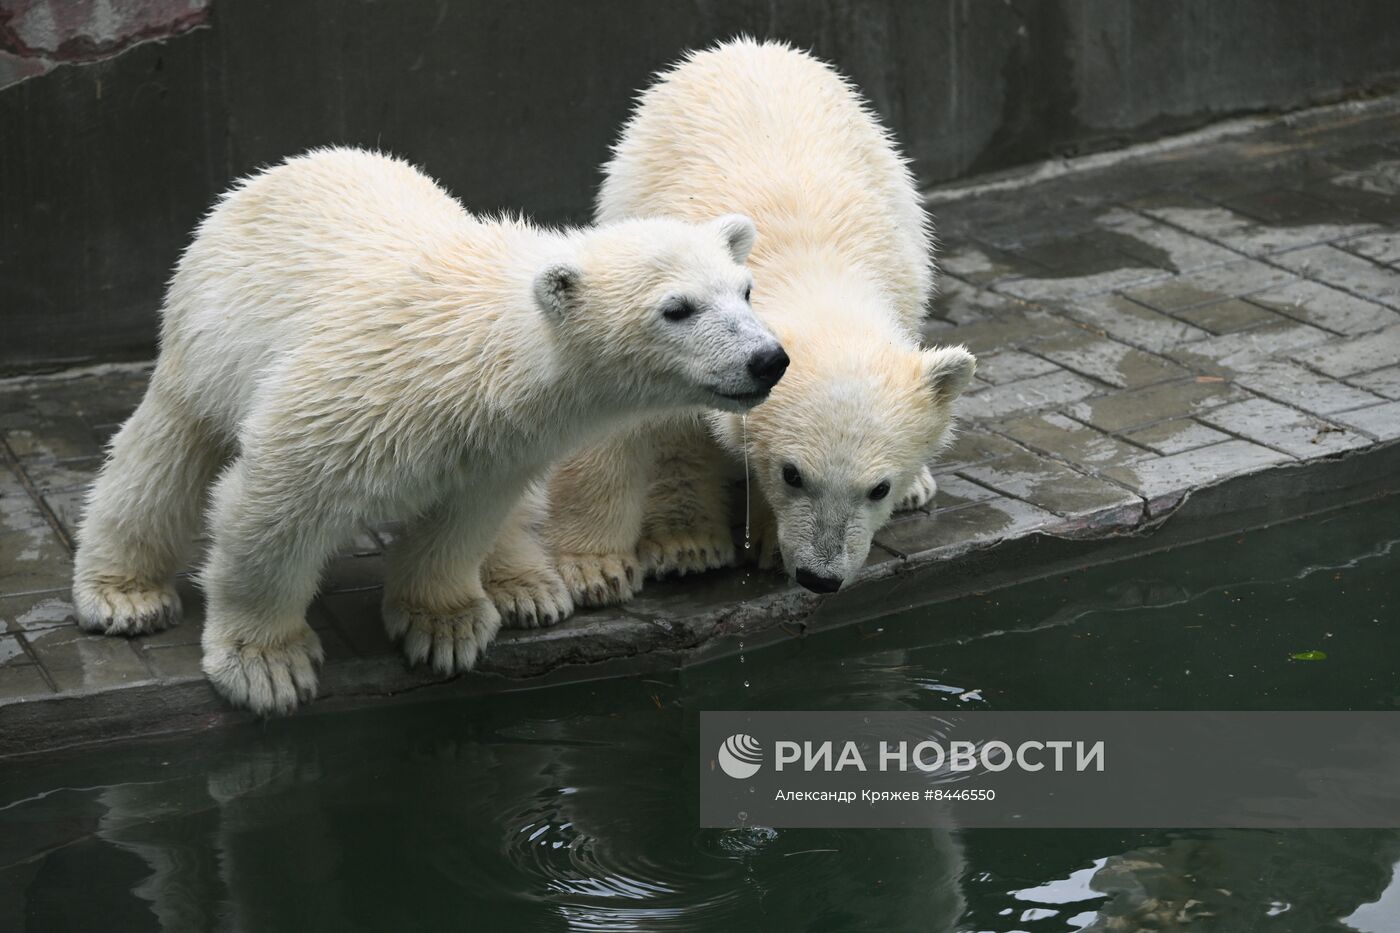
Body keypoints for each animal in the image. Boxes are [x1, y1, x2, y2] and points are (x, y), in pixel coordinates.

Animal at [71, 145, 784, 711]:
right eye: (677, 309)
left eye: (745, 290)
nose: (767, 359)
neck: (480, 354)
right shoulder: (342, 399)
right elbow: (275, 508)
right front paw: (266, 665)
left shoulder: (500, 446)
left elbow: (465, 518)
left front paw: (445, 627)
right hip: (207, 337)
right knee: (162, 458)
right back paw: (125, 593)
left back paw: (526, 588)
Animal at [543, 39, 974, 599]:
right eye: (793, 474)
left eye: (877, 488)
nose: (820, 578)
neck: (811, 269)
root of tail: (751, 46)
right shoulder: (681, 334)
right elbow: (659, 429)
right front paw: (675, 548)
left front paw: (768, 541)